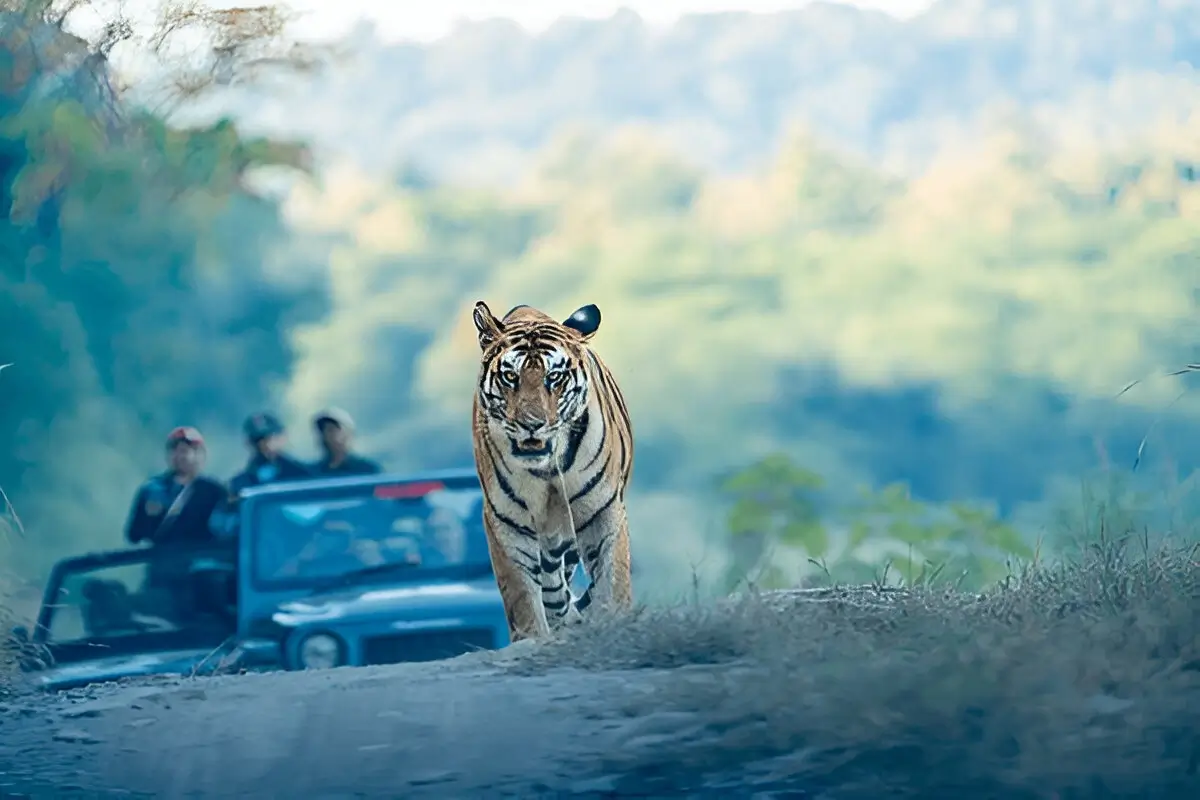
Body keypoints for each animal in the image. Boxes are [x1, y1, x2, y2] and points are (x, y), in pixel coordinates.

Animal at [470, 300, 634, 643]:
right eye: (510, 376)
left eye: (554, 377)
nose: (531, 424)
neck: (547, 470)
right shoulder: (506, 521)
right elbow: (522, 596)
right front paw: (533, 637)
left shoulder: (602, 509)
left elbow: (613, 577)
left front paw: (615, 619)